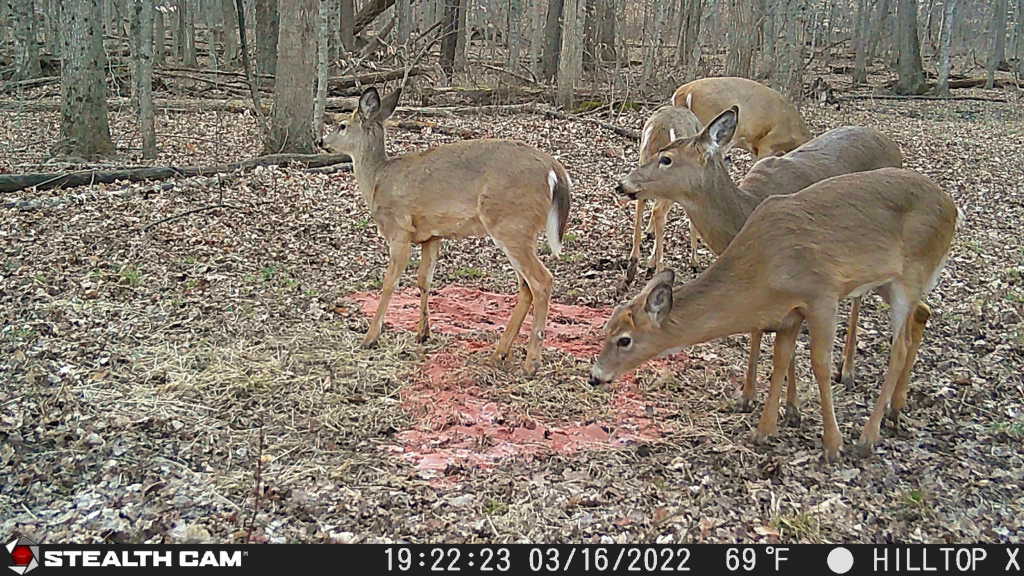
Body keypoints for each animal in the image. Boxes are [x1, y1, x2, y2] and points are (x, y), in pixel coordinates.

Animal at [319, 86, 572, 377]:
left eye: (342, 125)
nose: (322, 141)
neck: (377, 180)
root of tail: (555, 171)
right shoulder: (432, 235)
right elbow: (424, 280)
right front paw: (422, 333)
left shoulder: (399, 229)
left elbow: (390, 282)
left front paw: (370, 337)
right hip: (518, 230)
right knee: (526, 286)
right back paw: (498, 354)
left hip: (511, 224)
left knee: (542, 281)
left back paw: (531, 363)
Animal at [626, 105, 704, 288]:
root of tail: (658, 129)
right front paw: (695, 262)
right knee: (658, 212)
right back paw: (658, 270)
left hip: (644, 161)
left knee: (642, 203)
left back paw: (633, 266)